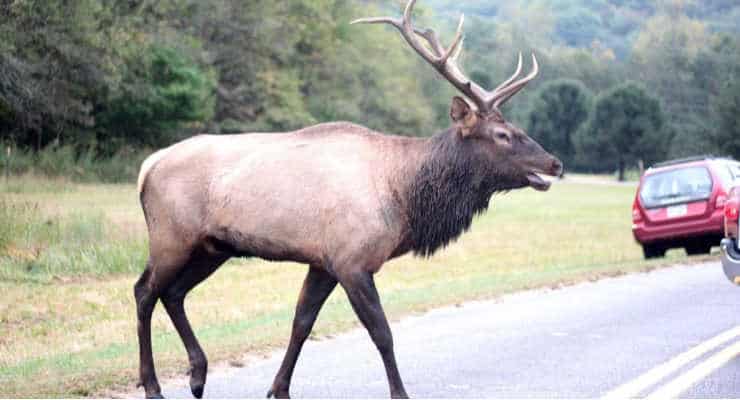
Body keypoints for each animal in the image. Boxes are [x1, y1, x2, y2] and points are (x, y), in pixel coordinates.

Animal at [134, 0, 563, 398]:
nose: (556, 163)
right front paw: (400, 392)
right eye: (502, 135)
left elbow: (301, 323)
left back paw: (197, 375)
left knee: (173, 293)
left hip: (213, 246)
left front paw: (279, 388)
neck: (404, 198)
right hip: (172, 236)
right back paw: (153, 384)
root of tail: (147, 167)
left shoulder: (323, 262)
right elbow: (382, 332)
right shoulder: (352, 260)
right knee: (145, 291)